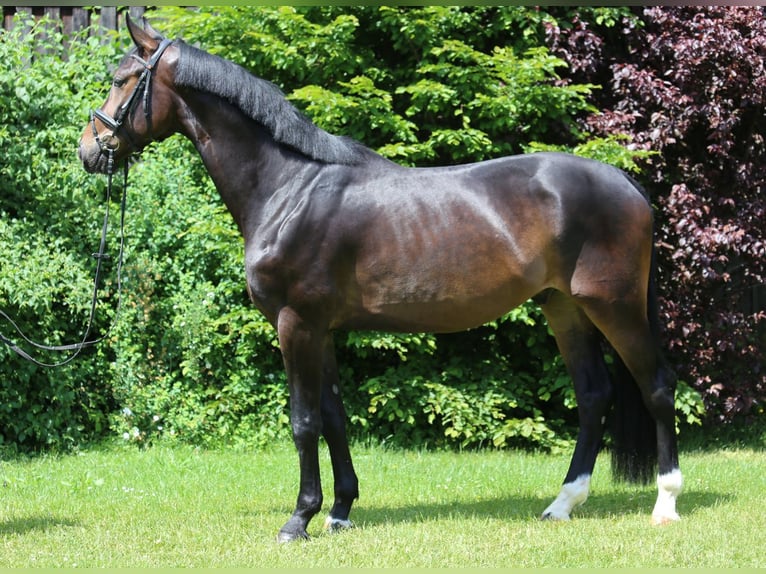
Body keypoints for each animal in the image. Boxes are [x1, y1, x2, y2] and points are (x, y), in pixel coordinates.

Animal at [79, 17, 682, 542]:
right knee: (594, 394)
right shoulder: (321, 330)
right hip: (564, 307)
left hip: (615, 306)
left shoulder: (296, 325)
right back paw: (562, 504)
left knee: (656, 385)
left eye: (121, 79)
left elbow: (303, 421)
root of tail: (625, 181)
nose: (89, 150)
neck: (288, 187)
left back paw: (666, 503)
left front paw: (298, 520)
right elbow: (334, 418)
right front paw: (340, 511)